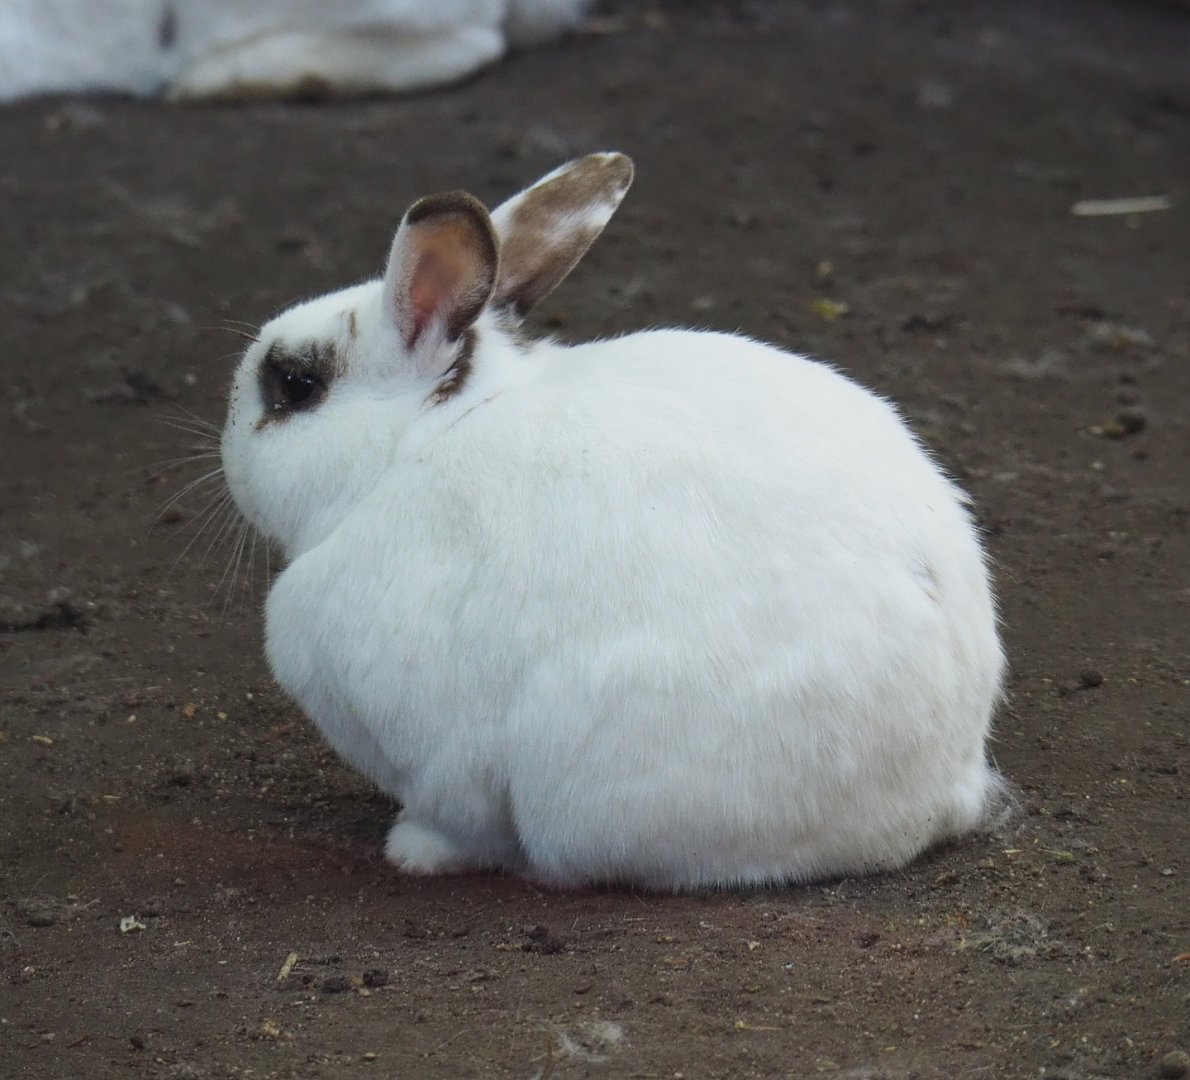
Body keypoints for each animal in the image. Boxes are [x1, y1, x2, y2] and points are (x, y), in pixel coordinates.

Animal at [220, 153, 1007, 890]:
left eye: (297, 386)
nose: (224, 451)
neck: (415, 445)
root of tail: (948, 783)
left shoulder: (443, 754)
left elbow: (456, 821)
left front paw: (411, 851)